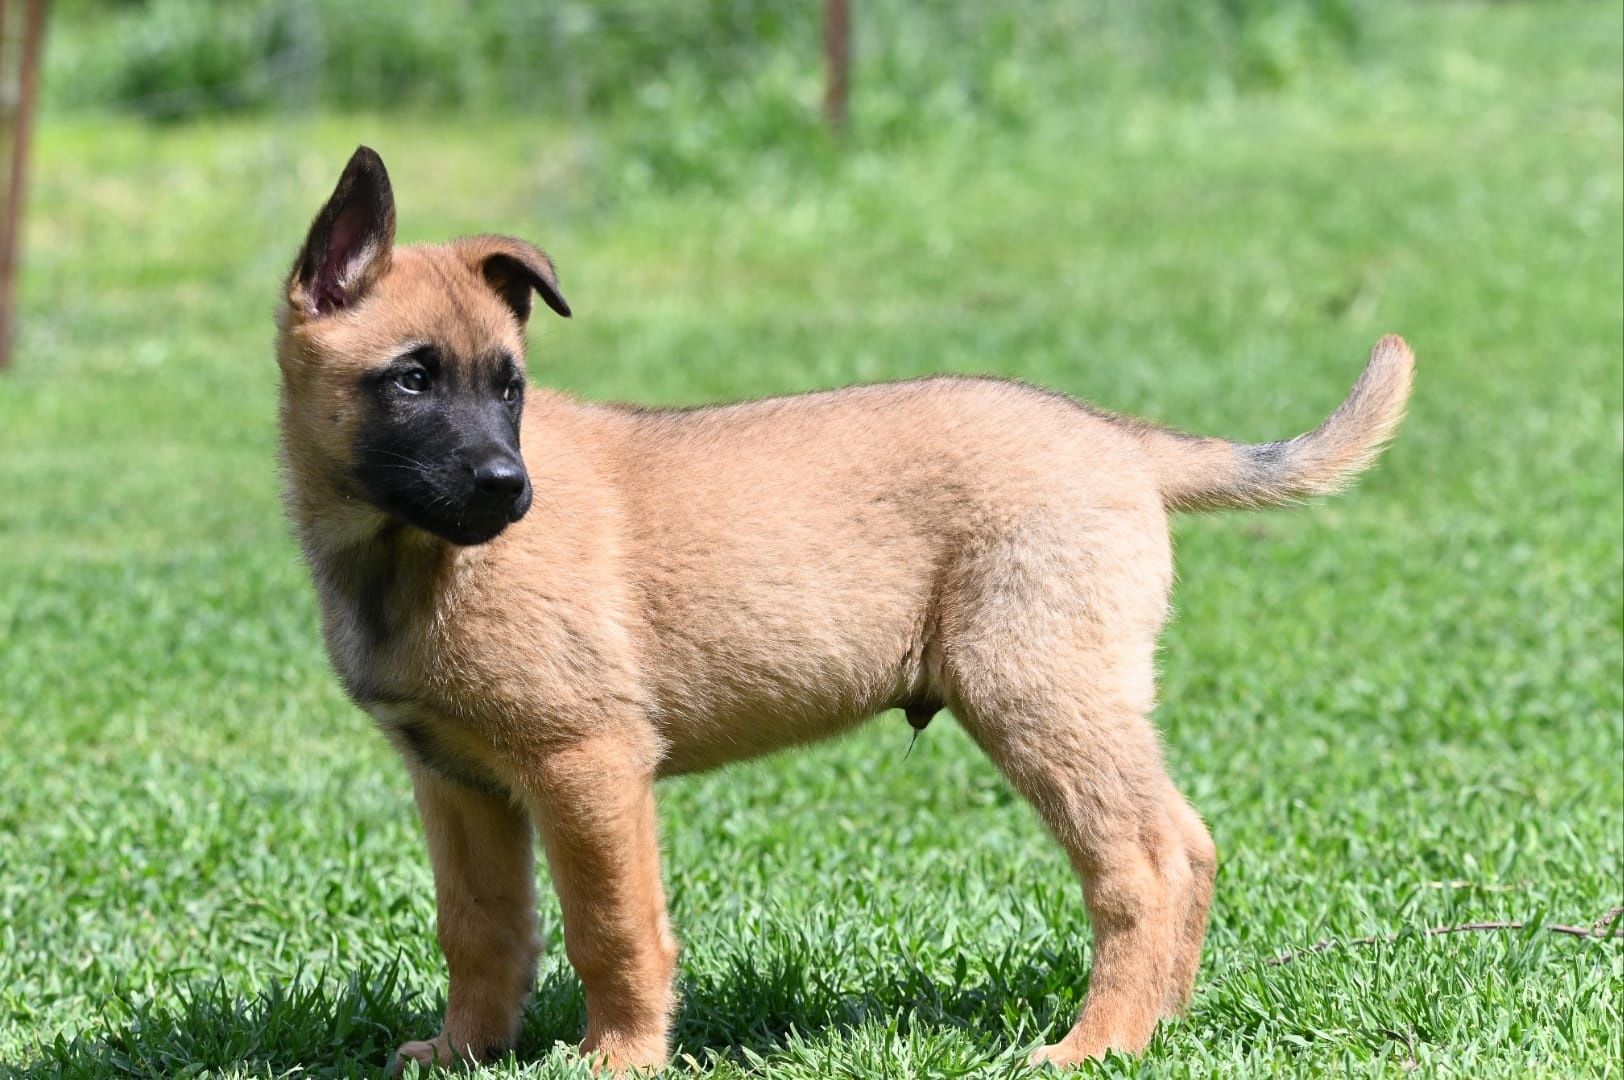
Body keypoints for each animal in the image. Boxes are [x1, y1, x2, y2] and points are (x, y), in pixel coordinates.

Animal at [276, 149, 1409, 1071]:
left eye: (509, 388)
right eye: (412, 380)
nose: (510, 490)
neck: (405, 557)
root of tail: (1120, 440)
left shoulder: (585, 764)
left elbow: (612, 928)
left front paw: (619, 1057)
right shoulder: (457, 781)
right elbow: (480, 929)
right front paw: (466, 1050)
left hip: (1036, 693)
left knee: (1144, 859)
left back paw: (1102, 1041)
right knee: (1190, 842)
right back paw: (1161, 1024)